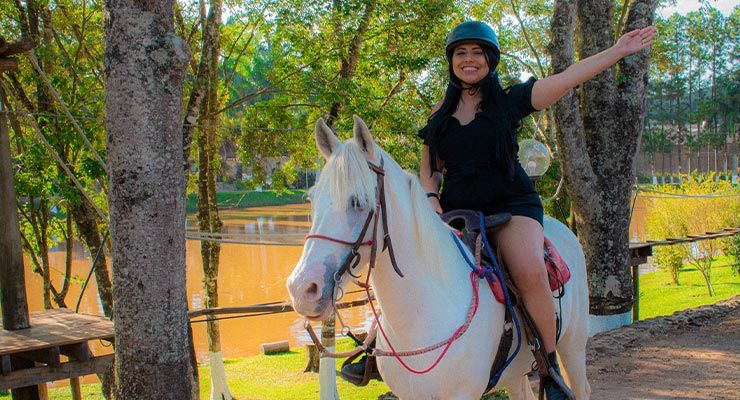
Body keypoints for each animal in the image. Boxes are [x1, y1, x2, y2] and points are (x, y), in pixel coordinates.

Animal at [288, 116, 588, 400]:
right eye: (312, 199)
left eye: (358, 201)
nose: (302, 289)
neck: (420, 315)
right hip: (514, 373)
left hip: (572, 347)